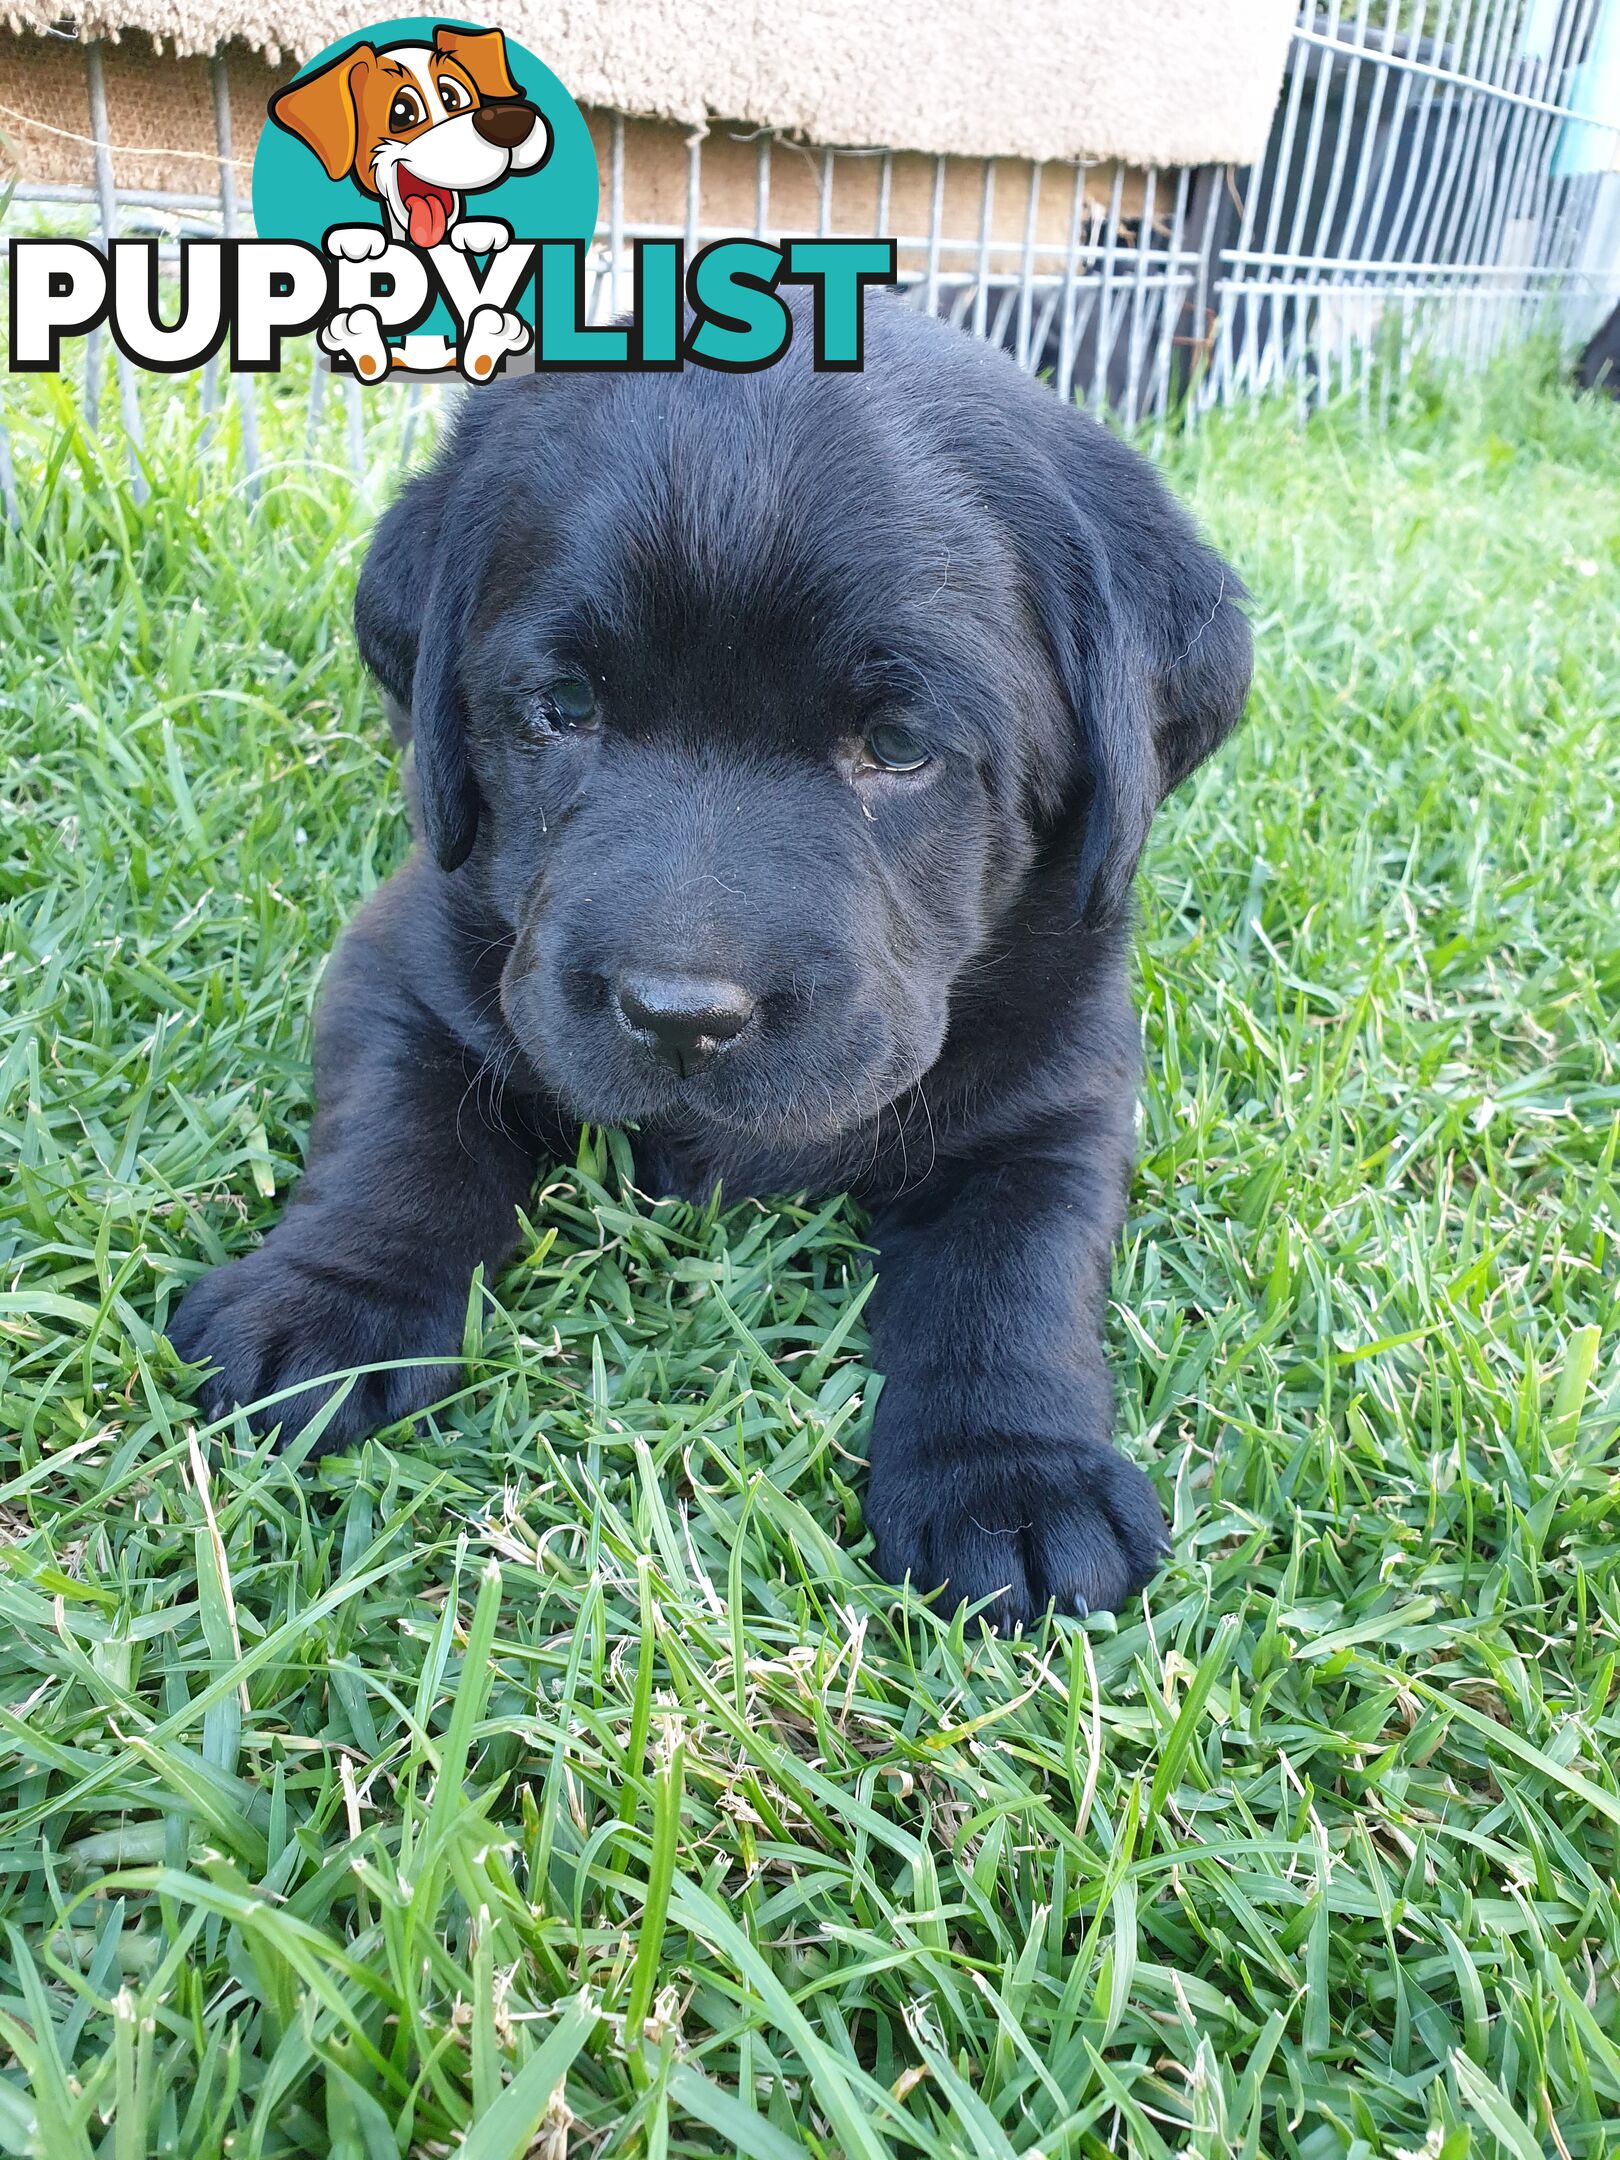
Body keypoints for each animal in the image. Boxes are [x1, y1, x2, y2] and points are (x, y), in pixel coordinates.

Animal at [171, 300, 1252, 1624]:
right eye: (562, 710)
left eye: (900, 746)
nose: (678, 1015)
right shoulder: (404, 959)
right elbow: (399, 1140)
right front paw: (328, 1300)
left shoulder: (1066, 1086)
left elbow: (1019, 1262)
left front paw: (1011, 1475)